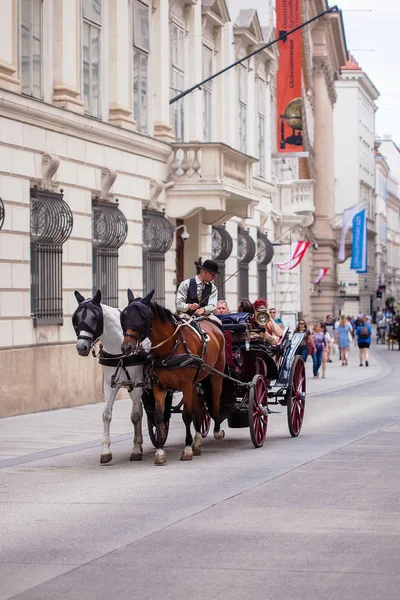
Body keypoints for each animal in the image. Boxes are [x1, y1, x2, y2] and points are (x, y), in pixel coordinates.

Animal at [72, 290, 146, 464]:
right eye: (76, 319)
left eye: (94, 318)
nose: (81, 347)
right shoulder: (109, 384)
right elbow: (106, 414)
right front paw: (105, 450)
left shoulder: (137, 383)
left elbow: (135, 416)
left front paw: (135, 450)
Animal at [119, 290, 225, 464]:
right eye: (124, 315)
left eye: (143, 316)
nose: (126, 346)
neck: (170, 347)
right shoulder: (159, 386)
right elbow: (159, 416)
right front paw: (160, 451)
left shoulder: (186, 384)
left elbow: (186, 415)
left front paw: (187, 449)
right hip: (195, 383)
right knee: (199, 409)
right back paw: (197, 442)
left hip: (215, 376)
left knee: (214, 400)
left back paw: (217, 431)